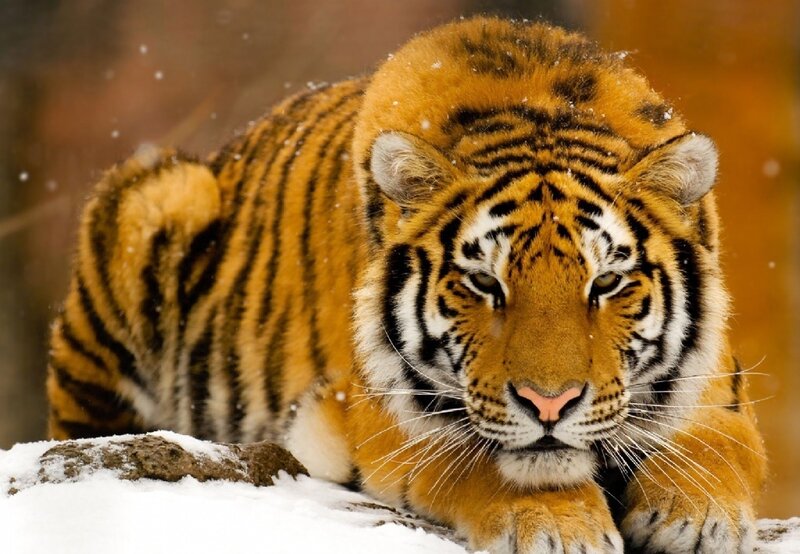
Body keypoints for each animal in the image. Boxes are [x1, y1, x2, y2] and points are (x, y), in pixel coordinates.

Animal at [46, 17, 766, 553]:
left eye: (607, 282)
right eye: (484, 283)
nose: (550, 404)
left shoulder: (717, 388)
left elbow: (717, 447)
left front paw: (693, 516)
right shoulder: (383, 412)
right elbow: (483, 461)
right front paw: (562, 527)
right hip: (159, 196)